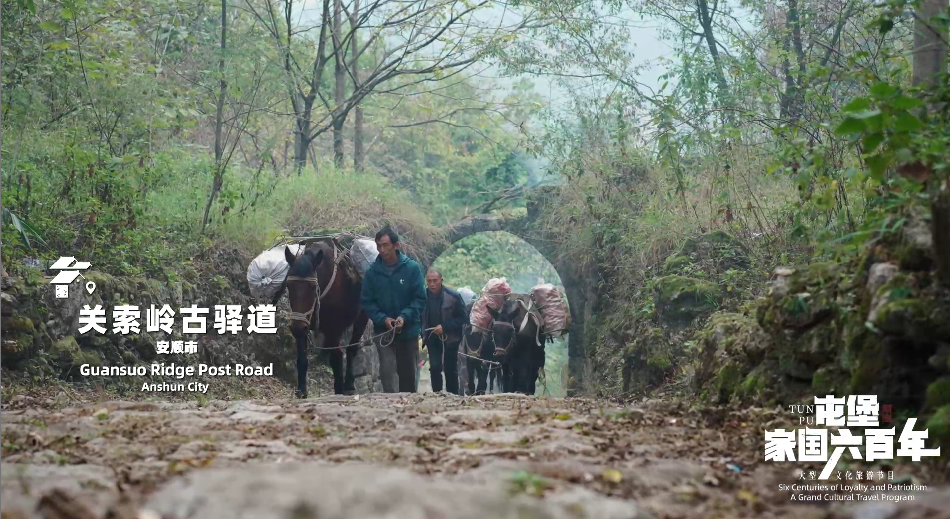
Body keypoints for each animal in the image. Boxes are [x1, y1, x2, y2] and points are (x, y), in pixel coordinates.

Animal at [279, 240, 370, 397]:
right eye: (288, 285)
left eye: (312, 286)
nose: (295, 328)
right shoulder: (304, 323)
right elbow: (302, 358)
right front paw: (302, 390)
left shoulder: (334, 328)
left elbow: (336, 356)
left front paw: (339, 389)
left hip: (362, 316)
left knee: (351, 348)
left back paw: (349, 384)